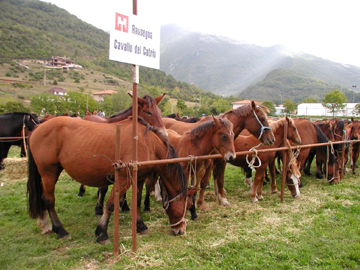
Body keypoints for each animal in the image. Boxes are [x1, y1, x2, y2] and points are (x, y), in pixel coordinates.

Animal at [26, 116, 187, 243]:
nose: (180, 230)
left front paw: (140, 226)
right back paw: (60, 230)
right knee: (48, 200)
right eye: (184, 208)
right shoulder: (123, 178)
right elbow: (110, 204)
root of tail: (37, 128)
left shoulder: (139, 178)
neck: (148, 143)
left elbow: (137, 202)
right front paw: (102, 232)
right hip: (49, 172)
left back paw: (46, 225)